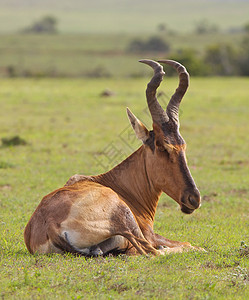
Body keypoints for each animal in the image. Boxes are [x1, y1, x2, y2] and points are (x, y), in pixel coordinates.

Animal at [23, 59, 202, 256]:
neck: (117, 184)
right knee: (151, 252)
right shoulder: (149, 234)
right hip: (125, 219)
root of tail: (51, 226)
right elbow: (188, 244)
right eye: (162, 146)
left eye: (183, 144)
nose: (193, 198)